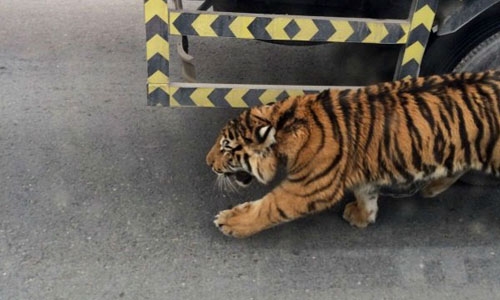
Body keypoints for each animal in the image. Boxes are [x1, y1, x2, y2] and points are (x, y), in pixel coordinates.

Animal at [205, 70, 500, 239]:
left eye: (226, 147)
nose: (208, 163)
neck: (287, 122)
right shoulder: (362, 171)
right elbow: (366, 193)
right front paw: (362, 216)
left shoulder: (307, 188)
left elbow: (267, 208)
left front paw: (229, 222)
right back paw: (431, 187)